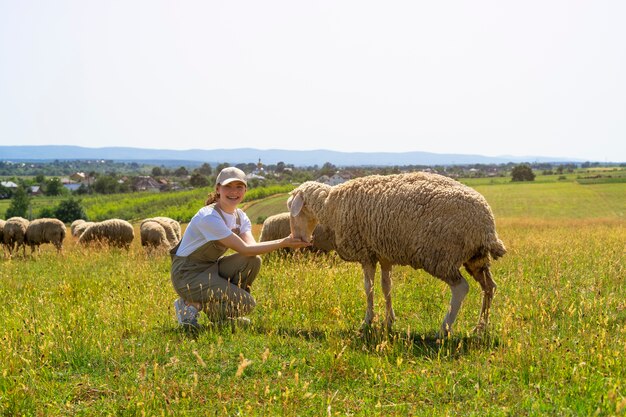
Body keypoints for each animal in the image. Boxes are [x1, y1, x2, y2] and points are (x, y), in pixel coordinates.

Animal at [286, 171, 504, 336]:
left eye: (293, 208)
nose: (299, 239)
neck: (331, 207)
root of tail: (486, 225)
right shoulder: (384, 255)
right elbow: (386, 287)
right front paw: (389, 320)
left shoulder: (366, 254)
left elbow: (369, 288)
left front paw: (367, 321)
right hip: (475, 257)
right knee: (489, 287)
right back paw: (480, 327)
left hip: (441, 255)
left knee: (461, 288)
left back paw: (444, 328)